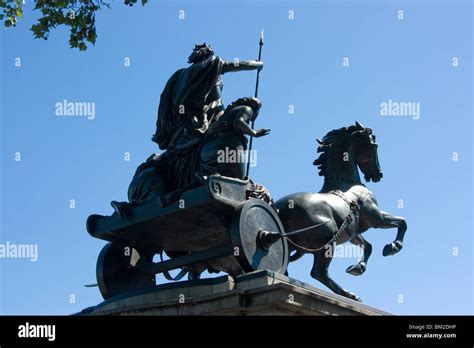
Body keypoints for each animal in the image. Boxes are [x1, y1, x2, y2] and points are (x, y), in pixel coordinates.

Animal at [274, 121, 408, 300]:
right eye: (374, 146)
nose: (378, 174)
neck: (346, 185)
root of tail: (279, 208)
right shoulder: (377, 219)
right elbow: (402, 222)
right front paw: (392, 247)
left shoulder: (352, 233)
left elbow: (368, 246)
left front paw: (357, 268)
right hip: (327, 240)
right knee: (318, 272)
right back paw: (348, 294)